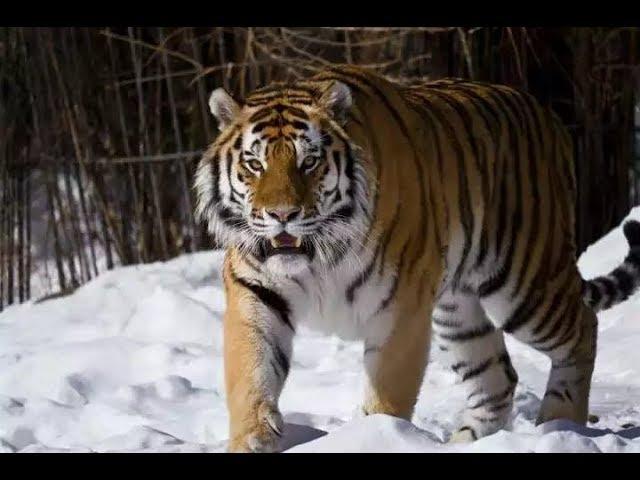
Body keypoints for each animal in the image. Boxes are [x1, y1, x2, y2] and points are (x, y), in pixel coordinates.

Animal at [194, 64, 640, 454]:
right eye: (255, 164)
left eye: (310, 162)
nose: (282, 215)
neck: (318, 255)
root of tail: (550, 119)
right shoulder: (256, 293)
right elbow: (250, 375)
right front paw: (252, 438)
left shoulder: (400, 308)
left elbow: (387, 394)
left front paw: (374, 439)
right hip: (458, 312)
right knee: (497, 377)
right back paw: (464, 444)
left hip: (524, 284)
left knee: (583, 327)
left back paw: (561, 422)